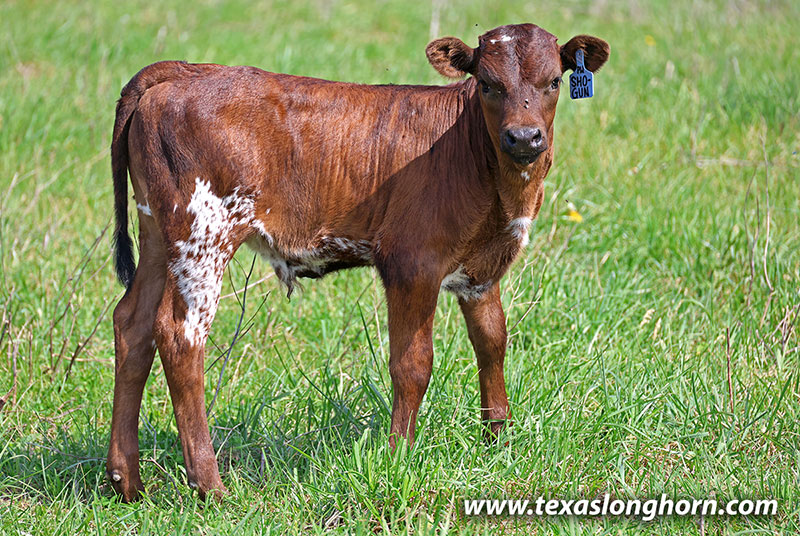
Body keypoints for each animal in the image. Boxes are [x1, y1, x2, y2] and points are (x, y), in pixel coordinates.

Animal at [106, 23, 609, 501]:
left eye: (553, 81)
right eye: (486, 84)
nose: (523, 136)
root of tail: (185, 71)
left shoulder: (480, 272)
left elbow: (492, 344)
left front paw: (497, 443)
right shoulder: (412, 264)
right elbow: (412, 365)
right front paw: (400, 455)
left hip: (158, 233)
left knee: (133, 324)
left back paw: (125, 480)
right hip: (203, 233)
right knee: (179, 335)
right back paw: (209, 485)